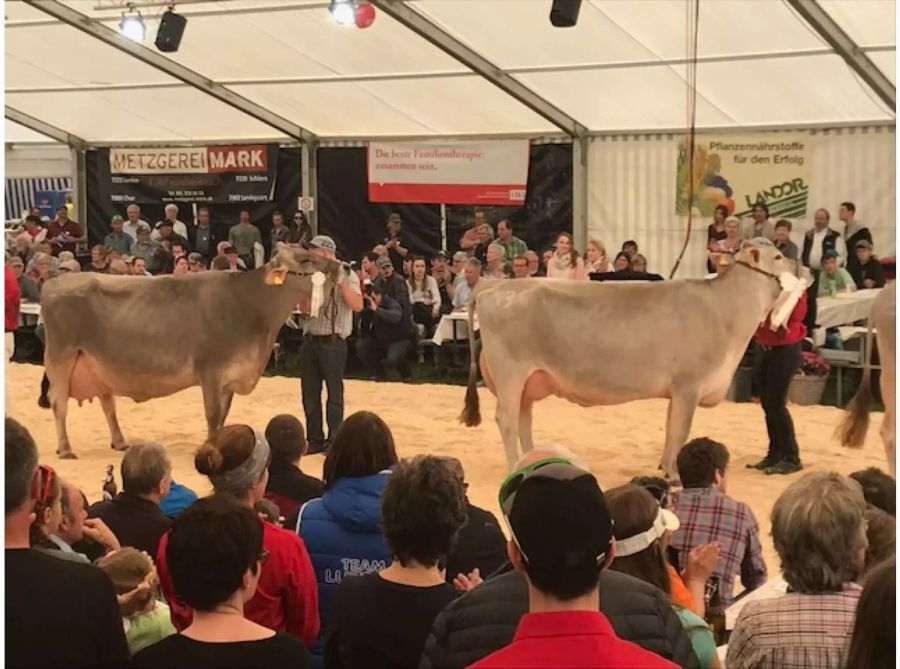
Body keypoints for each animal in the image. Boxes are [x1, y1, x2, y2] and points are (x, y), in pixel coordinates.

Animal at [37, 245, 344, 460]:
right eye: (305, 260)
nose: (342, 266)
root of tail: (54, 283)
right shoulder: (211, 370)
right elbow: (213, 414)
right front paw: (210, 448)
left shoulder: (229, 378)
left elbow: (223, 415)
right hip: (61, 357)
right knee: (59, 402)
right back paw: (65, 448)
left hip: (96, 364)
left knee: (107, 402)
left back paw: (121, 442)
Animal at [464, 240, 796, 474]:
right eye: (779, 257)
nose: (800, 267)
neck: (726, 310)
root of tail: (493, 287)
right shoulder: (688, 385)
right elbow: (680, 430)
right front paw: (674, 474)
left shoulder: (677, 391)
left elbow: (670, 428)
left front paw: (665, 466)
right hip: (510, 373)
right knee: (507, 419)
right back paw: (514, 465)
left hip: (528, 380)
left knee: (524, 418)